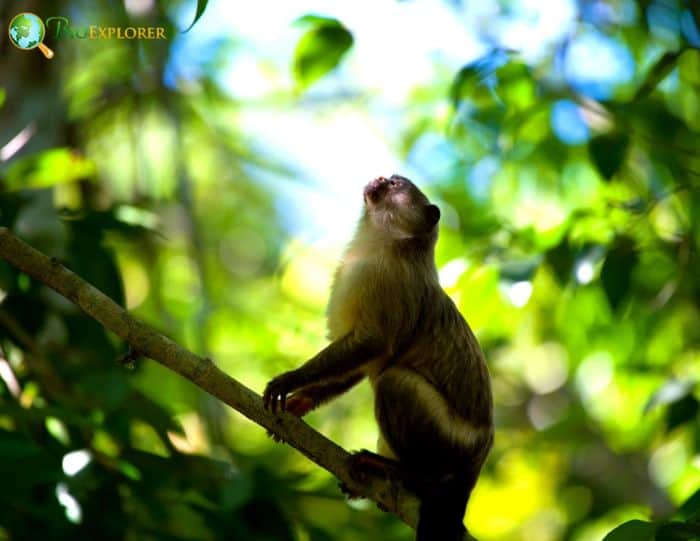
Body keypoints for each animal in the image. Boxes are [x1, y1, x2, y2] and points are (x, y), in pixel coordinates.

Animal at [262, 175, 492, 536]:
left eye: (395, 185)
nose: (380, 179)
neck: (389, 243)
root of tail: (475, 464)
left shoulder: (388, 279)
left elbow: (375, 344)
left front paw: (291, 380)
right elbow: (358, 364)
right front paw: (300, 402)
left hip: (453, 442)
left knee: (394, 382)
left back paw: (414, 477)